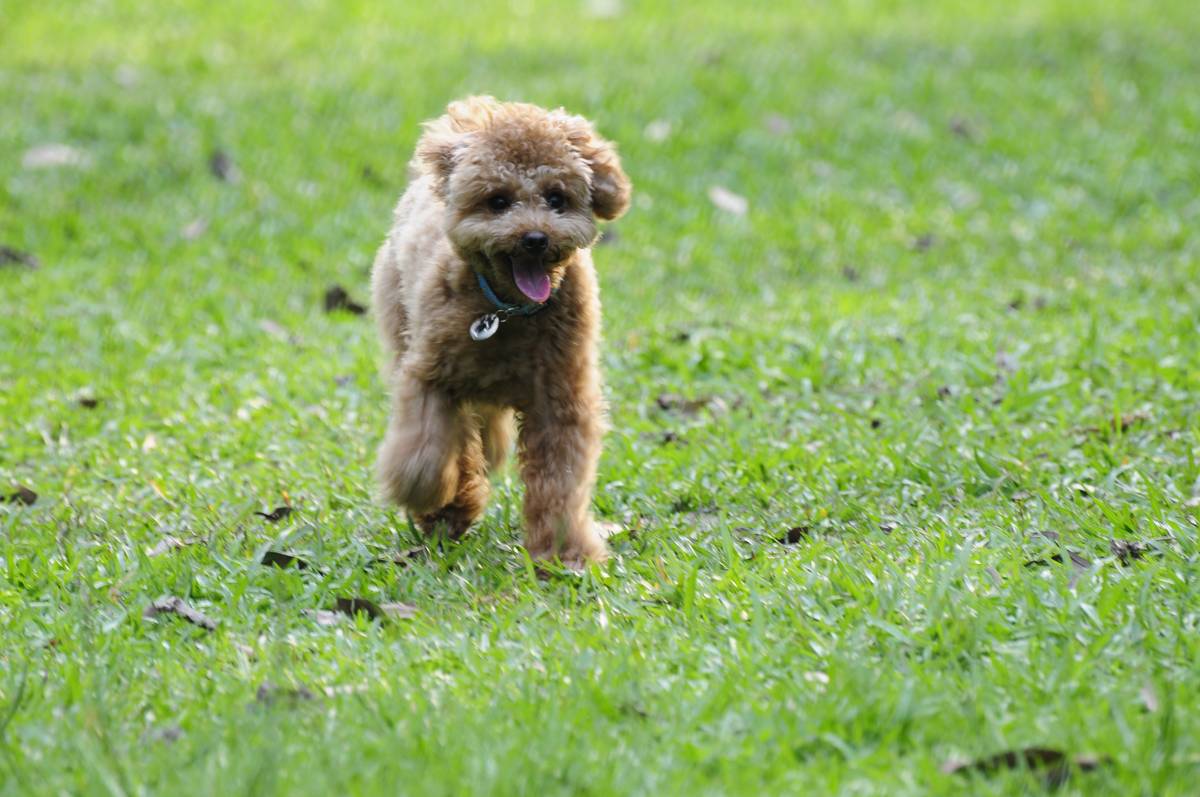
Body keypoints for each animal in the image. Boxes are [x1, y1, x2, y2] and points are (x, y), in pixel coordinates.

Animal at [370, 96, 631, 567]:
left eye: (556, 198)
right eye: (498, 201)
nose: (535, 239)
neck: (508, 312)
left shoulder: (561, 402)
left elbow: (561, 482)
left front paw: (566, 555)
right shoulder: (429, 377)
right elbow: (425, 455)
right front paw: (424, 494)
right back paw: (451, 509)